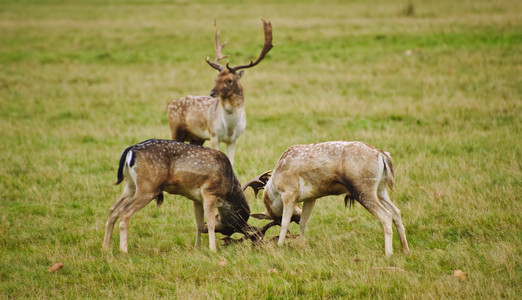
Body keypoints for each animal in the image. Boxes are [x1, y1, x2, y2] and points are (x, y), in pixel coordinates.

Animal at [166, 18, 272, 166]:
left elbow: (231, 162)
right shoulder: (213, 134)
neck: (230, 127)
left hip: (197, 138)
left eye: (229, 80)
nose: (212, 93)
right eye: (216, 78)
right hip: (175, 129)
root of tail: (169, 104)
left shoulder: (234, 139)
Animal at [244, 141, 410, 255]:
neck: (274, 187)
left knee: (386, 215)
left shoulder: (290, 192)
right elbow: (304, 222)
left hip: (363, 189)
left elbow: (286, 222)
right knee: (396, 212)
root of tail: (382, 155)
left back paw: (388, 254)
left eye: (276, 219)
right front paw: (301, 245)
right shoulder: (311, 198)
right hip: (380, 189)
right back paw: (405, 250)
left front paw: (279, 245)